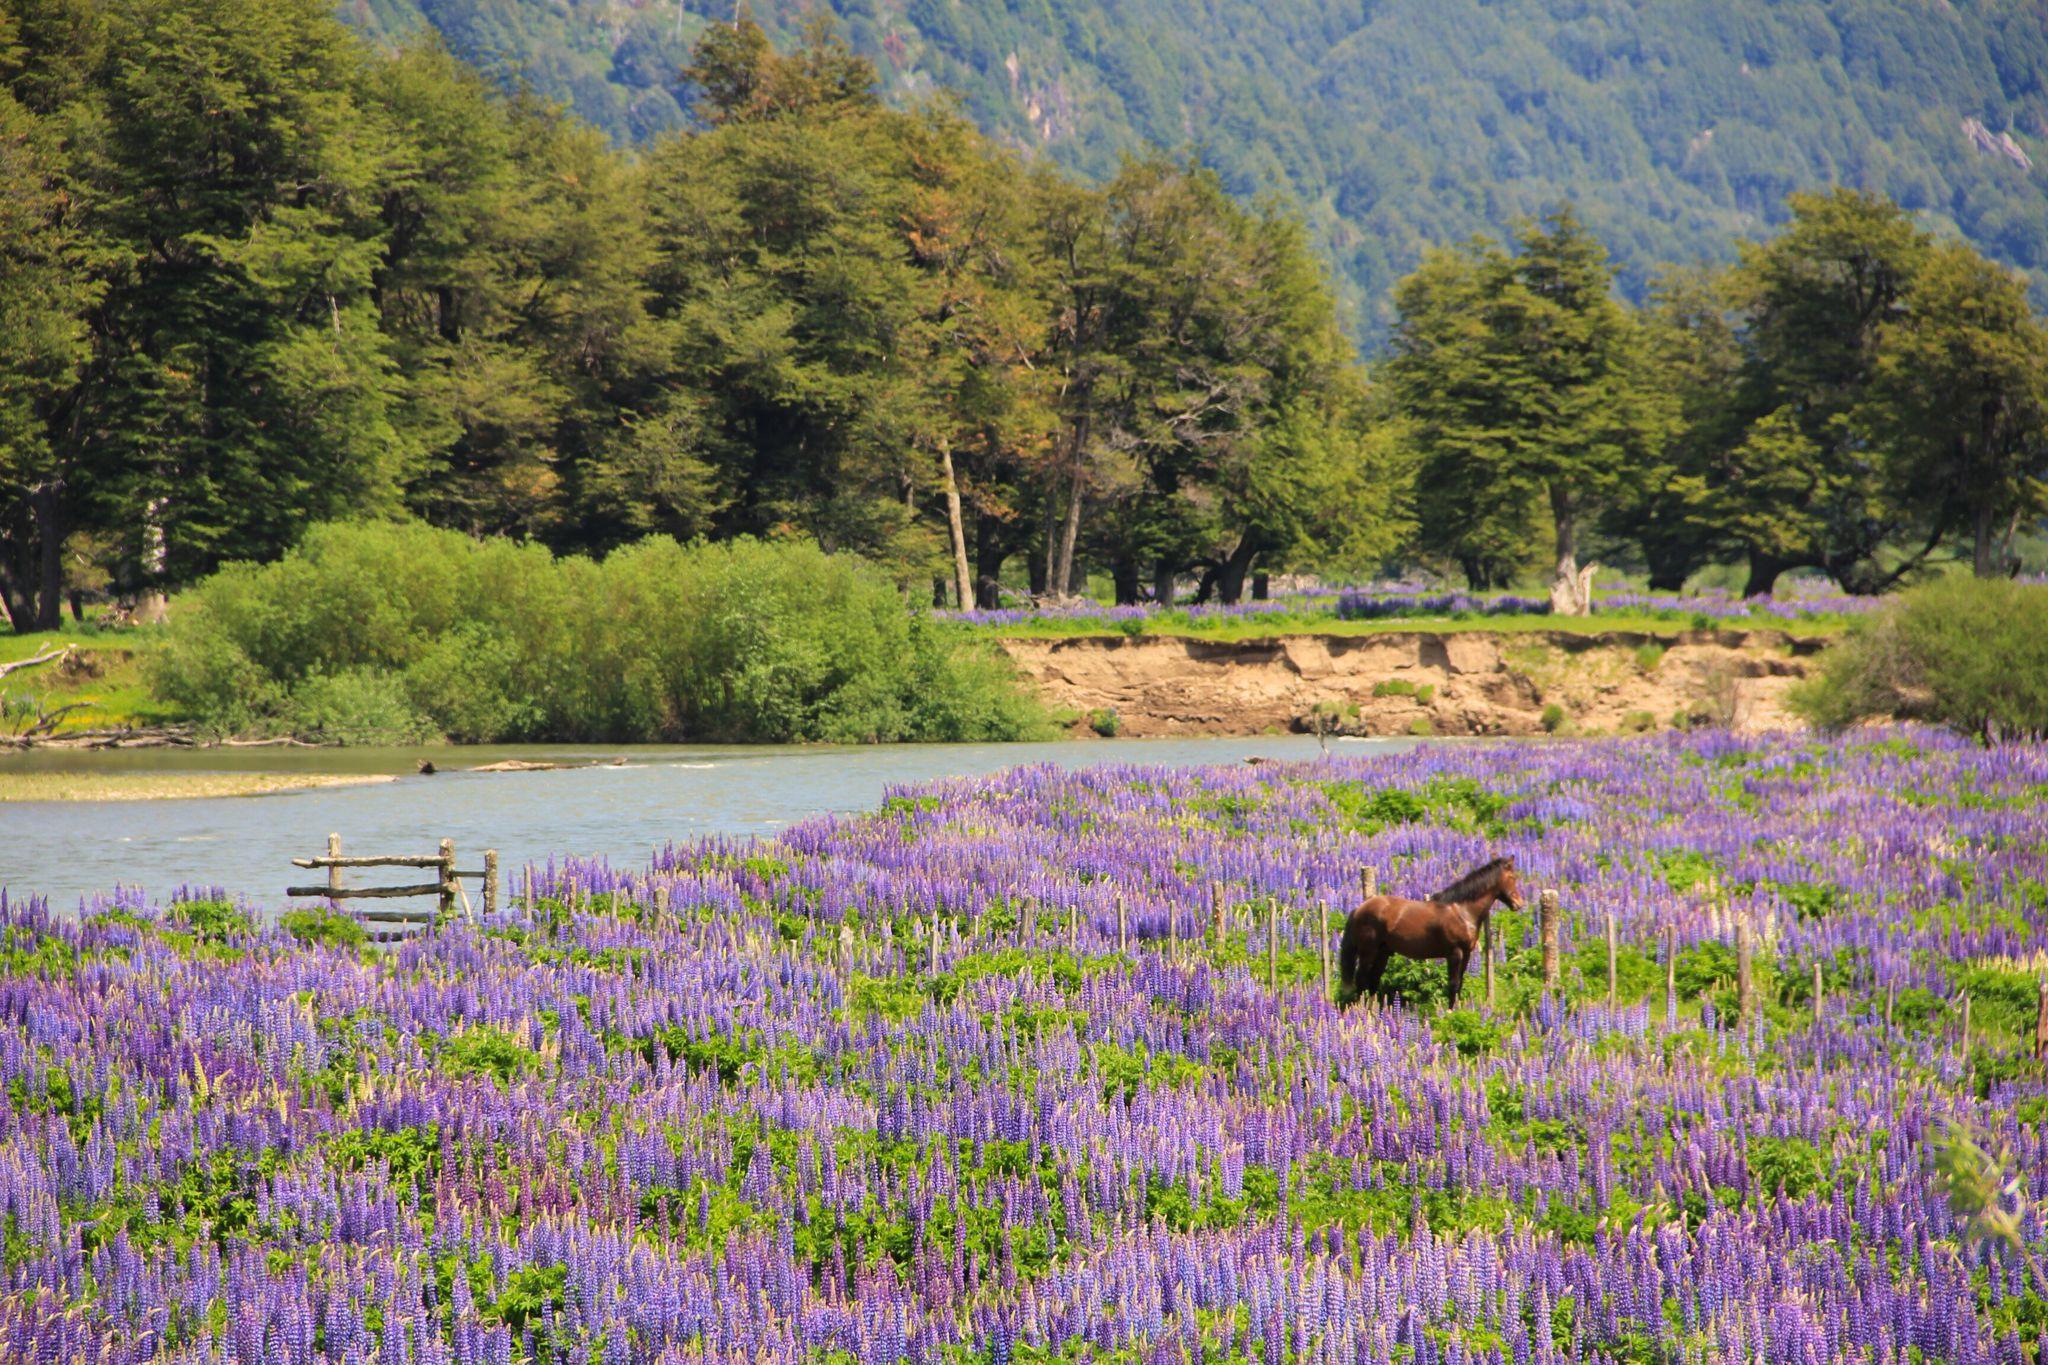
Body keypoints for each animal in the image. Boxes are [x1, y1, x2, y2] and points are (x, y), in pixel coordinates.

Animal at [1335, 859, 1531, 1010]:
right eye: (1512, 878)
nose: (1519, 904)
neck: (1462, 911)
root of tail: (1359, 909)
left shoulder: (1466, 954)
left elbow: (1459, 983)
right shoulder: (1454, 953)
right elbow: (1453, 984)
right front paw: (1450, 1012)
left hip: (1383, 953)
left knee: (1373, 980)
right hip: (1368, 952)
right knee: (1362, 980)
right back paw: (1362, 1009)